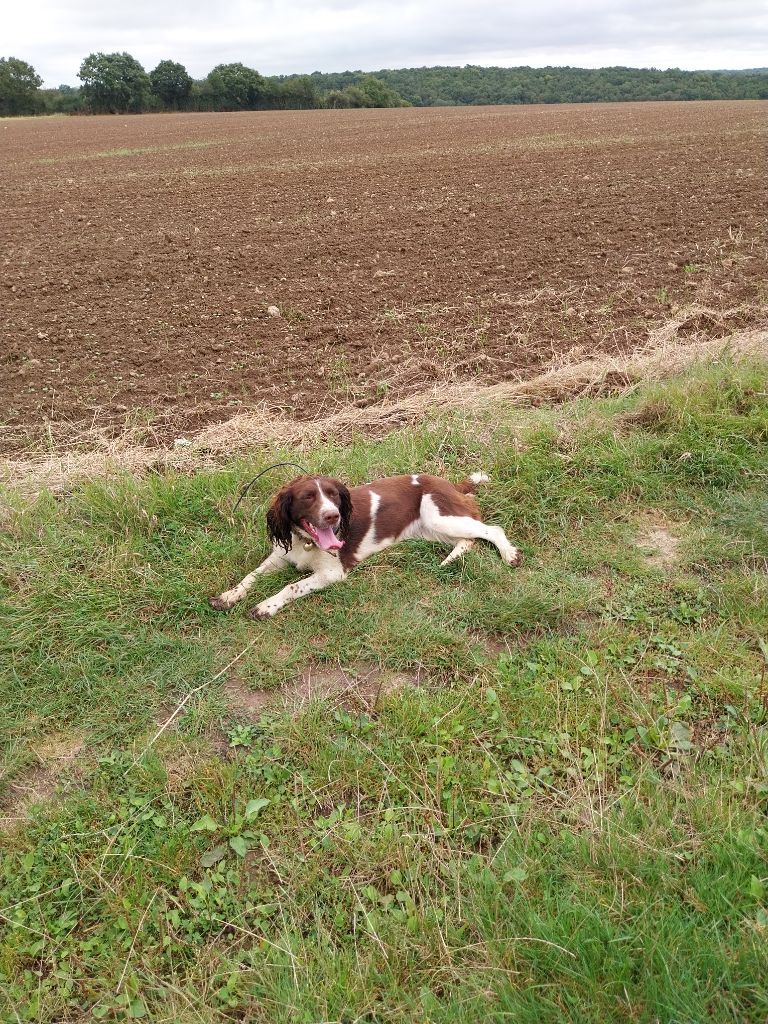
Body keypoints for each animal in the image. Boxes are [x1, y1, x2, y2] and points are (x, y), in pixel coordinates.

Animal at [210, 468, 524, 614]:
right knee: (469, 540)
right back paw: (450, 560)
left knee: (491, 529)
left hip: (440, 517)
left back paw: (510, 554)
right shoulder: (279, 556)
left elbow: (291, 586)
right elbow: (251, 575)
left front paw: (266, 606)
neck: (306, 542)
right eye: (307, 497)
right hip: (430, 529)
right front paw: (228, 596)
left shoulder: (333, 572)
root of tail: (451, 484)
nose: (333, 516)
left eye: (333, 495)